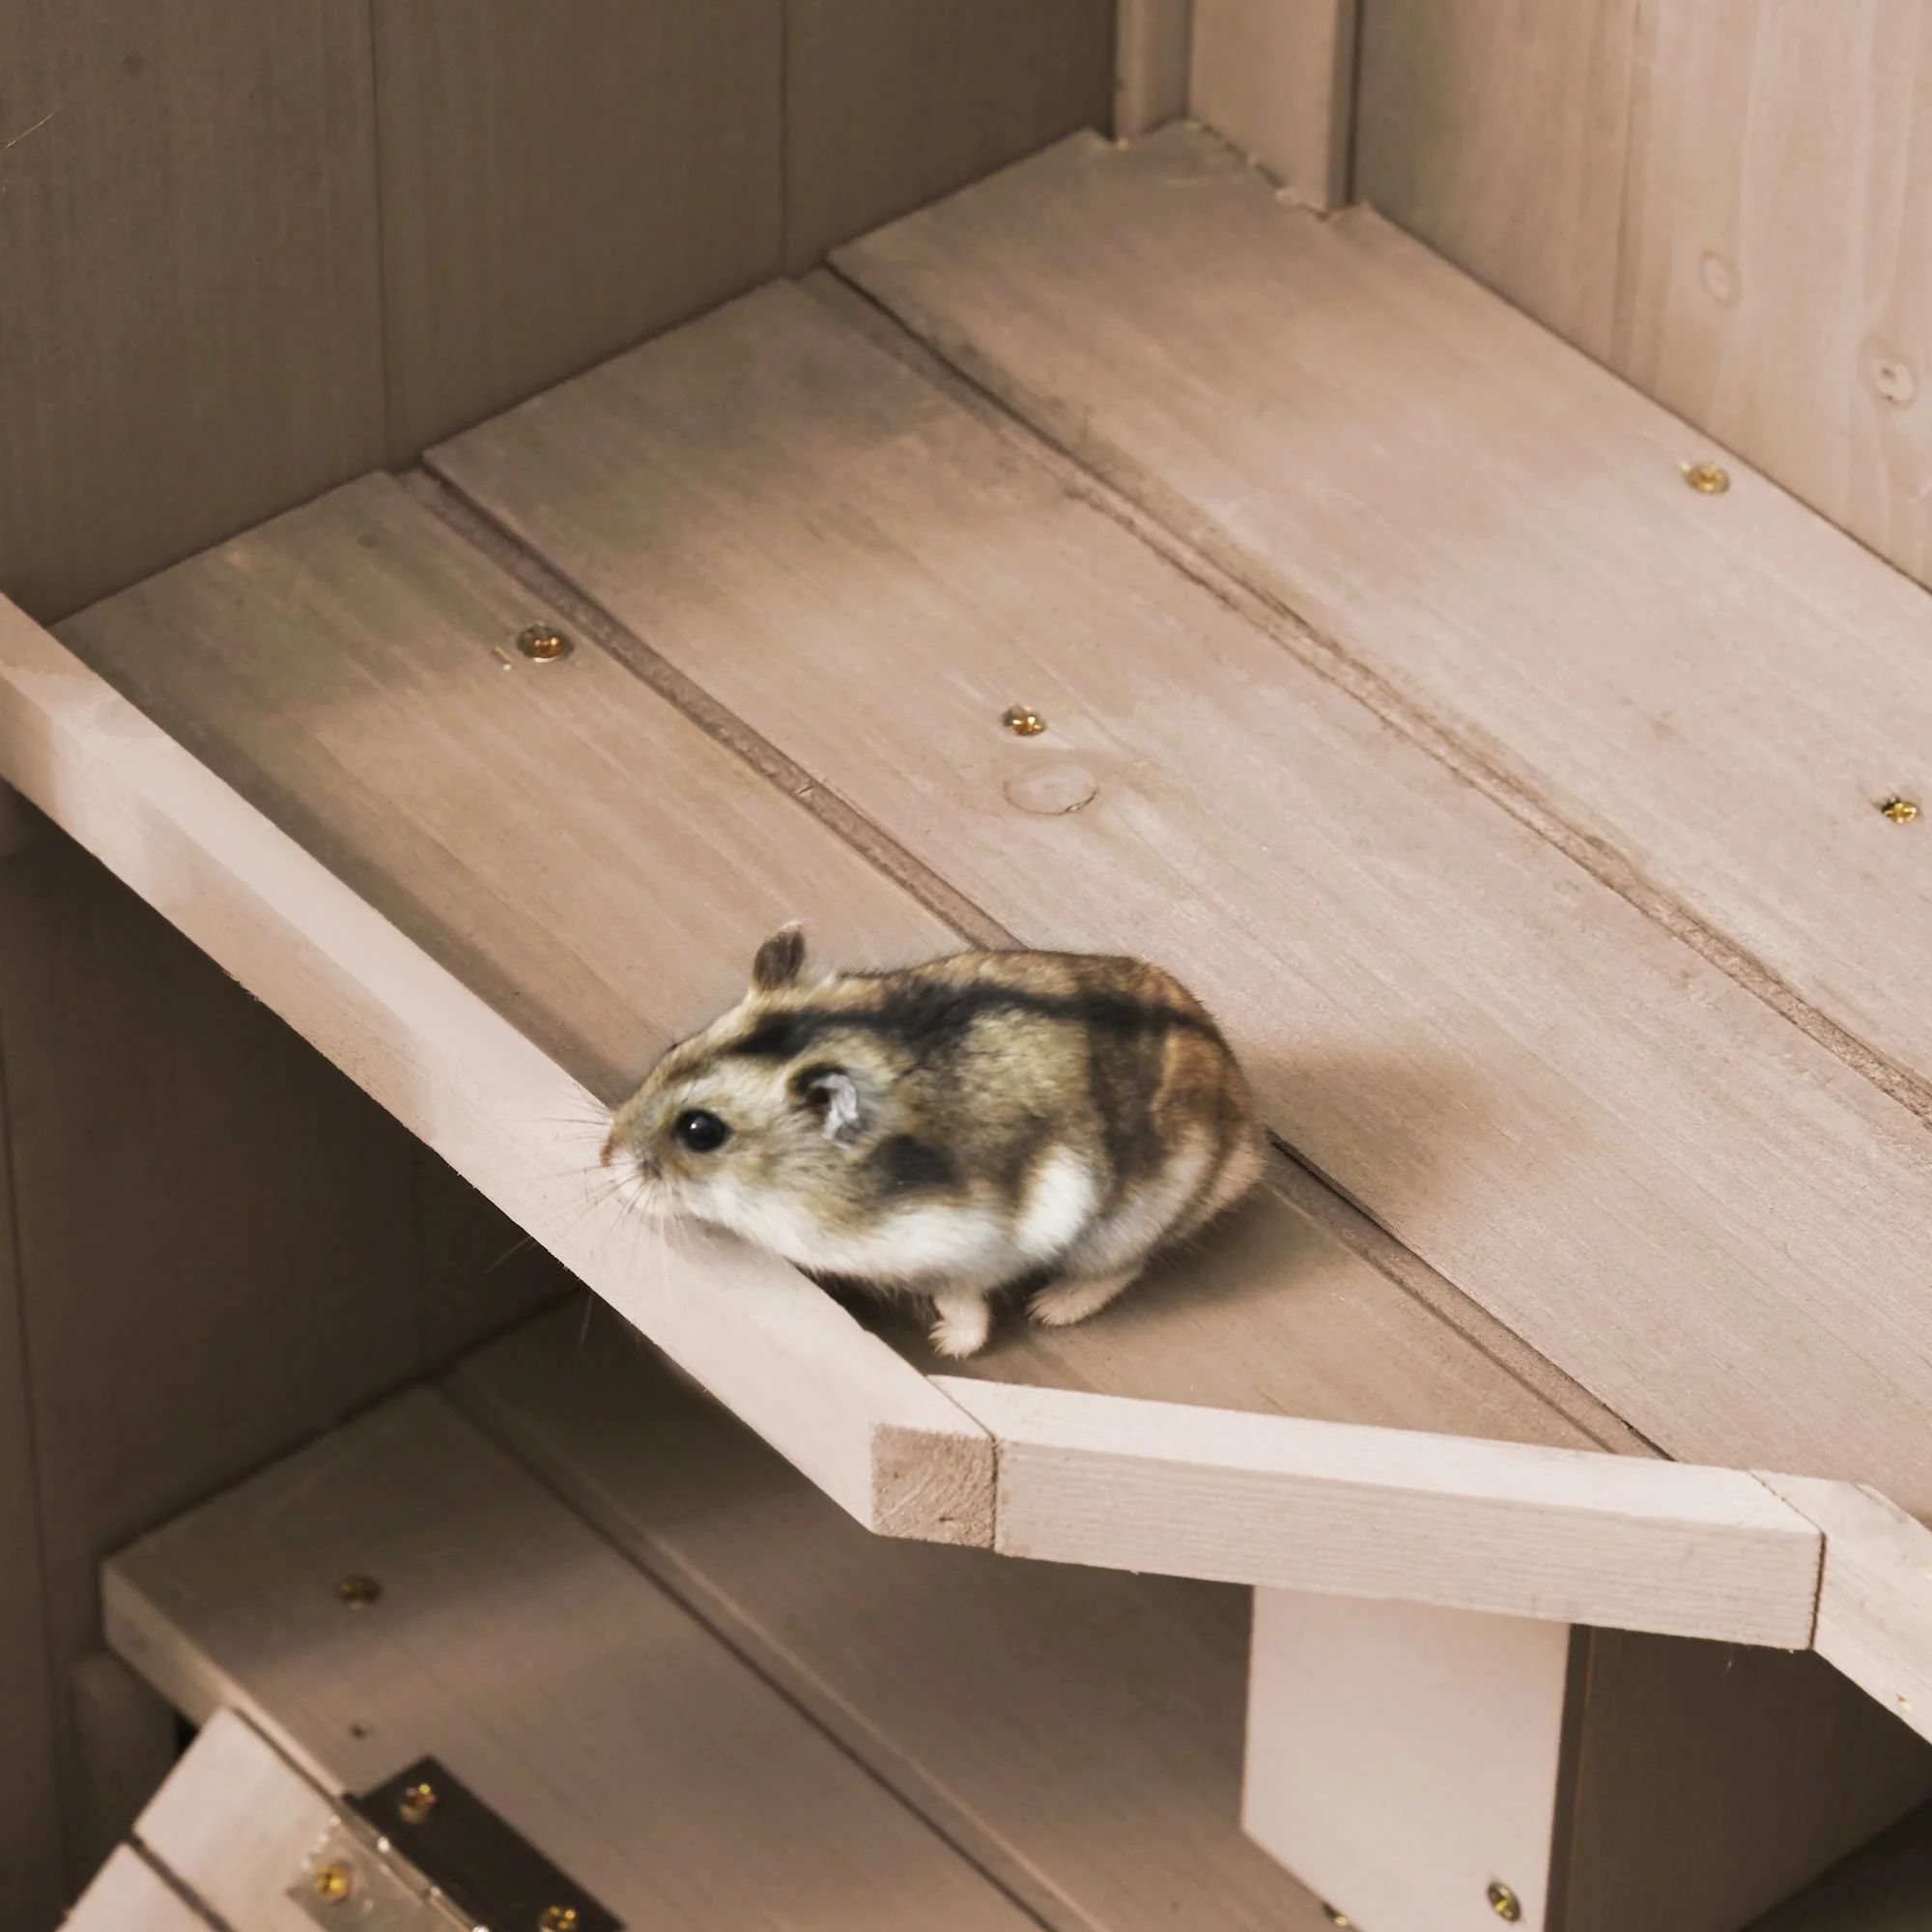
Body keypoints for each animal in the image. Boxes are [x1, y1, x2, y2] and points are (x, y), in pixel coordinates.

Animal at [601, 927, 1265, 1357]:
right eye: (671, 1048)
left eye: (700, 1132)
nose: (606, 1162)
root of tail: (1247, 1138)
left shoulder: (965, 1252)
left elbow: (963, 1301)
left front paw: (946, 1344)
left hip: (1125, 1229)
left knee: (1122, 1269)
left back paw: (1049, 1309)